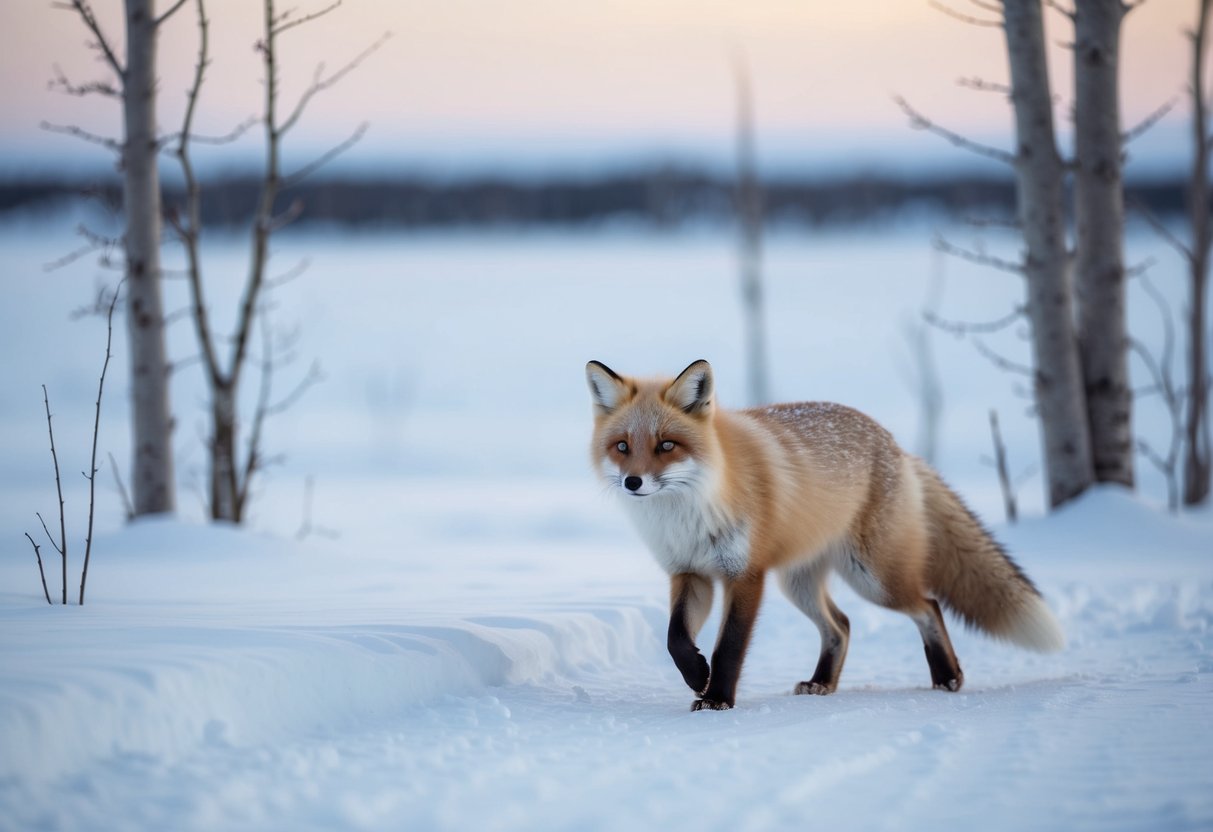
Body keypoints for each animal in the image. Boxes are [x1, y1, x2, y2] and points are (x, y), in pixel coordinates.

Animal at [586, 359, 1064, 711]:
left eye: (666, 445)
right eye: (623, 446)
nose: (633, 483)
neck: (689, 511)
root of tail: (897, 445)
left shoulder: (746, 574)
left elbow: (730, 646)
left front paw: (717, 697)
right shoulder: (690, 573)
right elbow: (675, 639)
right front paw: (696, 676)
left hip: (874, 578)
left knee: (928, 605)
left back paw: (948, 678)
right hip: (799, 582)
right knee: (842, 625)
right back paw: (821, 684)